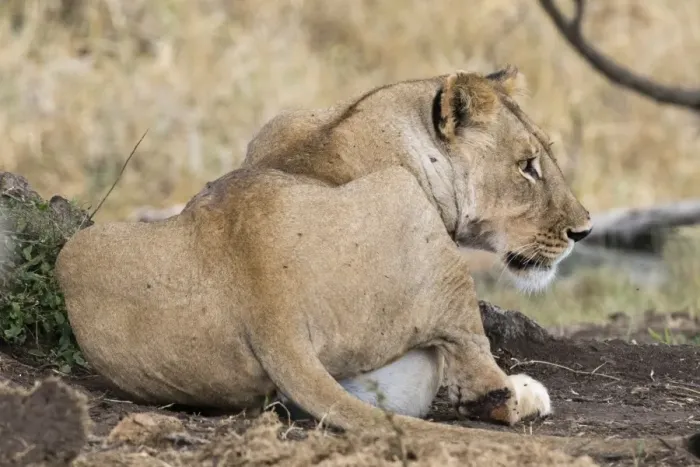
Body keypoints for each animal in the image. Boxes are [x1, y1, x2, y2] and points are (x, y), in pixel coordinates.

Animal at [55, 66, 594, 446]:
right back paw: (523, 394)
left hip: (78, 248)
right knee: (485, 390)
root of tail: (269, 304)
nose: (584, 230)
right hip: (409, 206)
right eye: (527, 167)